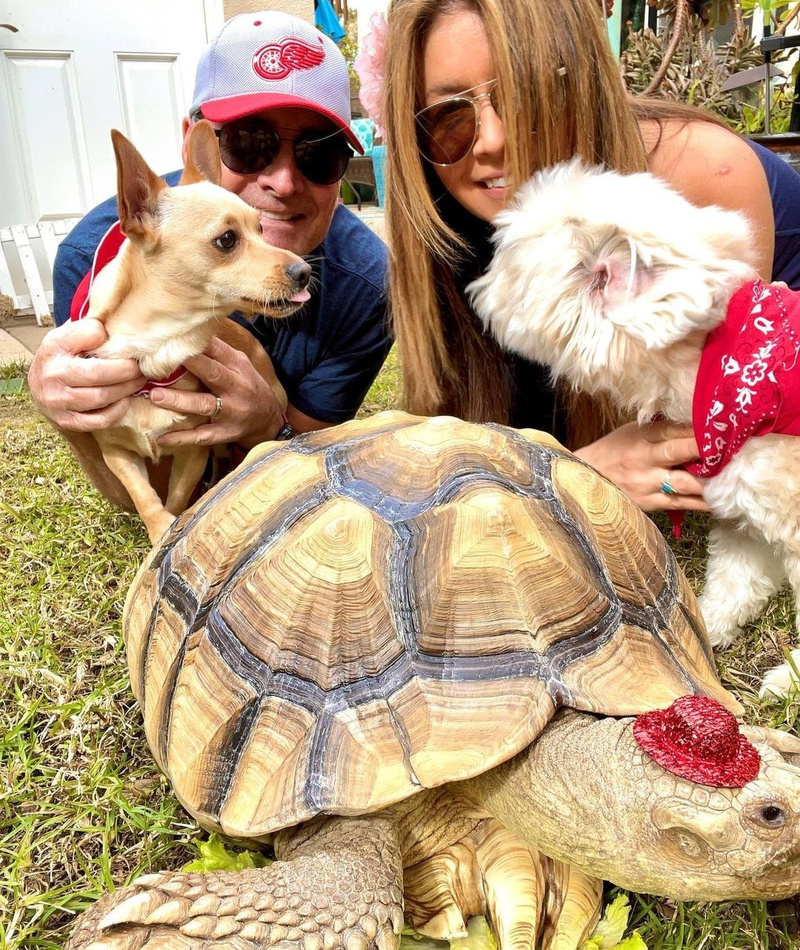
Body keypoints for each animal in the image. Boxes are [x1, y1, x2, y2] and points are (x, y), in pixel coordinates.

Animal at [84, 121, 310, 544]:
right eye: (227, 240)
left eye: (262, 228)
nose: (304, 271)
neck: (154, 354)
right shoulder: (118, 454)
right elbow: (146, 499)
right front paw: (159, 534)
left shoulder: (193, 451)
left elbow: (176, 500)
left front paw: (171, 536)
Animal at [468, 160, 800, 704]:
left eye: (510, 259)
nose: (477, 287)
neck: (715, 368)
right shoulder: (745, 518)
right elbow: (734, 581)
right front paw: (698, 631)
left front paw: (786, 681)